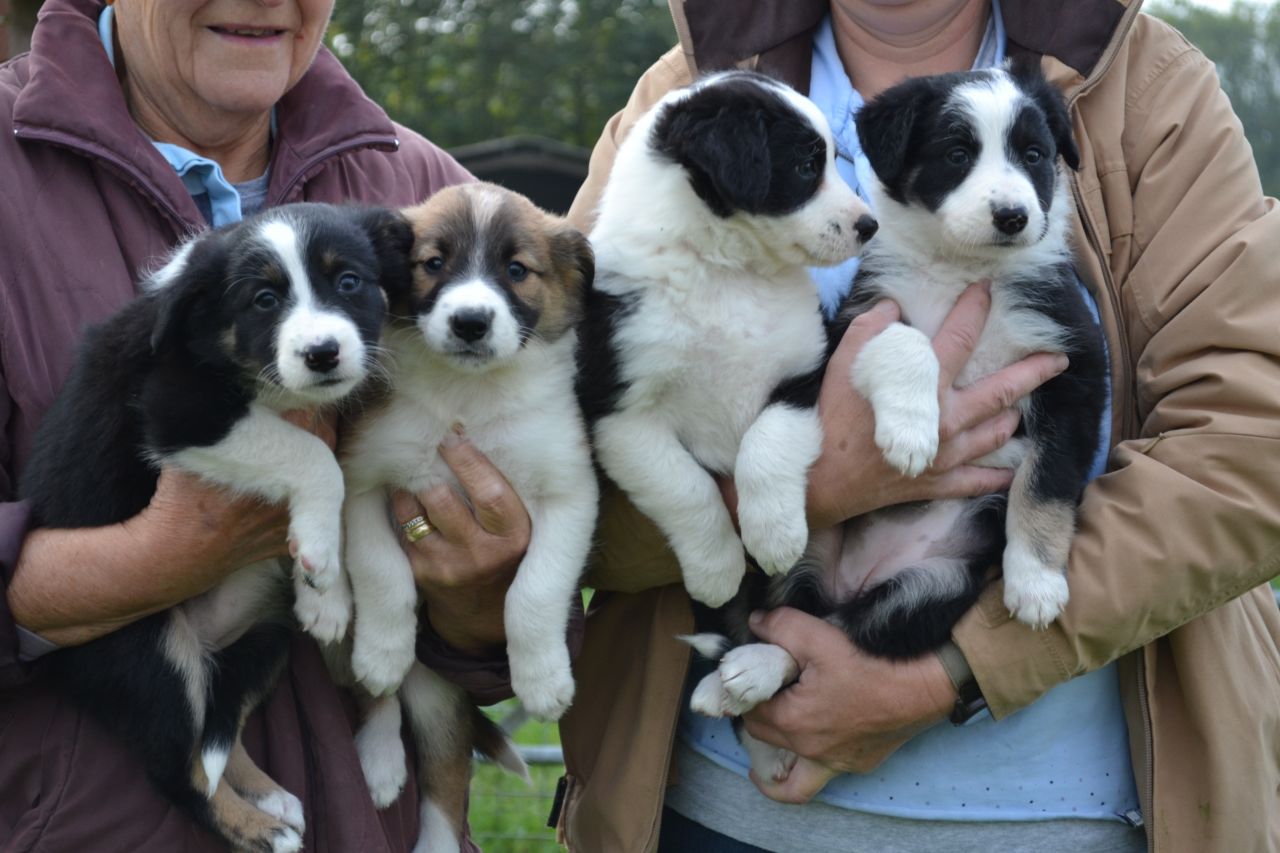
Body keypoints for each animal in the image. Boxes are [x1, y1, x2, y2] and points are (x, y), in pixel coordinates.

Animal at [20, 204, 409, 850]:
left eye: (349, 282)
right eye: (264, 300)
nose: (323, 353)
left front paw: (326, 595)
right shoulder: (178, 411)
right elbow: (314, 457)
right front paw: (319, 556)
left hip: (265, 638)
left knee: (218, 731)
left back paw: (284, 792)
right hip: (152, 652)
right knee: (180, 766)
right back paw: (261, 828)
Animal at [586, 69, 875, 607]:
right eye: (806, 165)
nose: (870, 225)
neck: (725, 270)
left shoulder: (803, 370)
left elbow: (765, 443)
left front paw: (776, 537)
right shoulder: (619, 413)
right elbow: (683, 485)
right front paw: (716, 570)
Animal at [691, 68, 1111, 778]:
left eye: (1033, 155)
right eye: (957, 153)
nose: (1012, 216)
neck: (965, 269)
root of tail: (851, 583)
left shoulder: (1070, 369)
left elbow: (1047, 483)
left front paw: (1035, 584)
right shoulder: (858, 322)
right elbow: (905, 340)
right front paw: (913, 434)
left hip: (932, 588)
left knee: (839, 637)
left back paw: (749, 676)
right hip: (801, 549)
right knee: (789, 619)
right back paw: (738, 678)